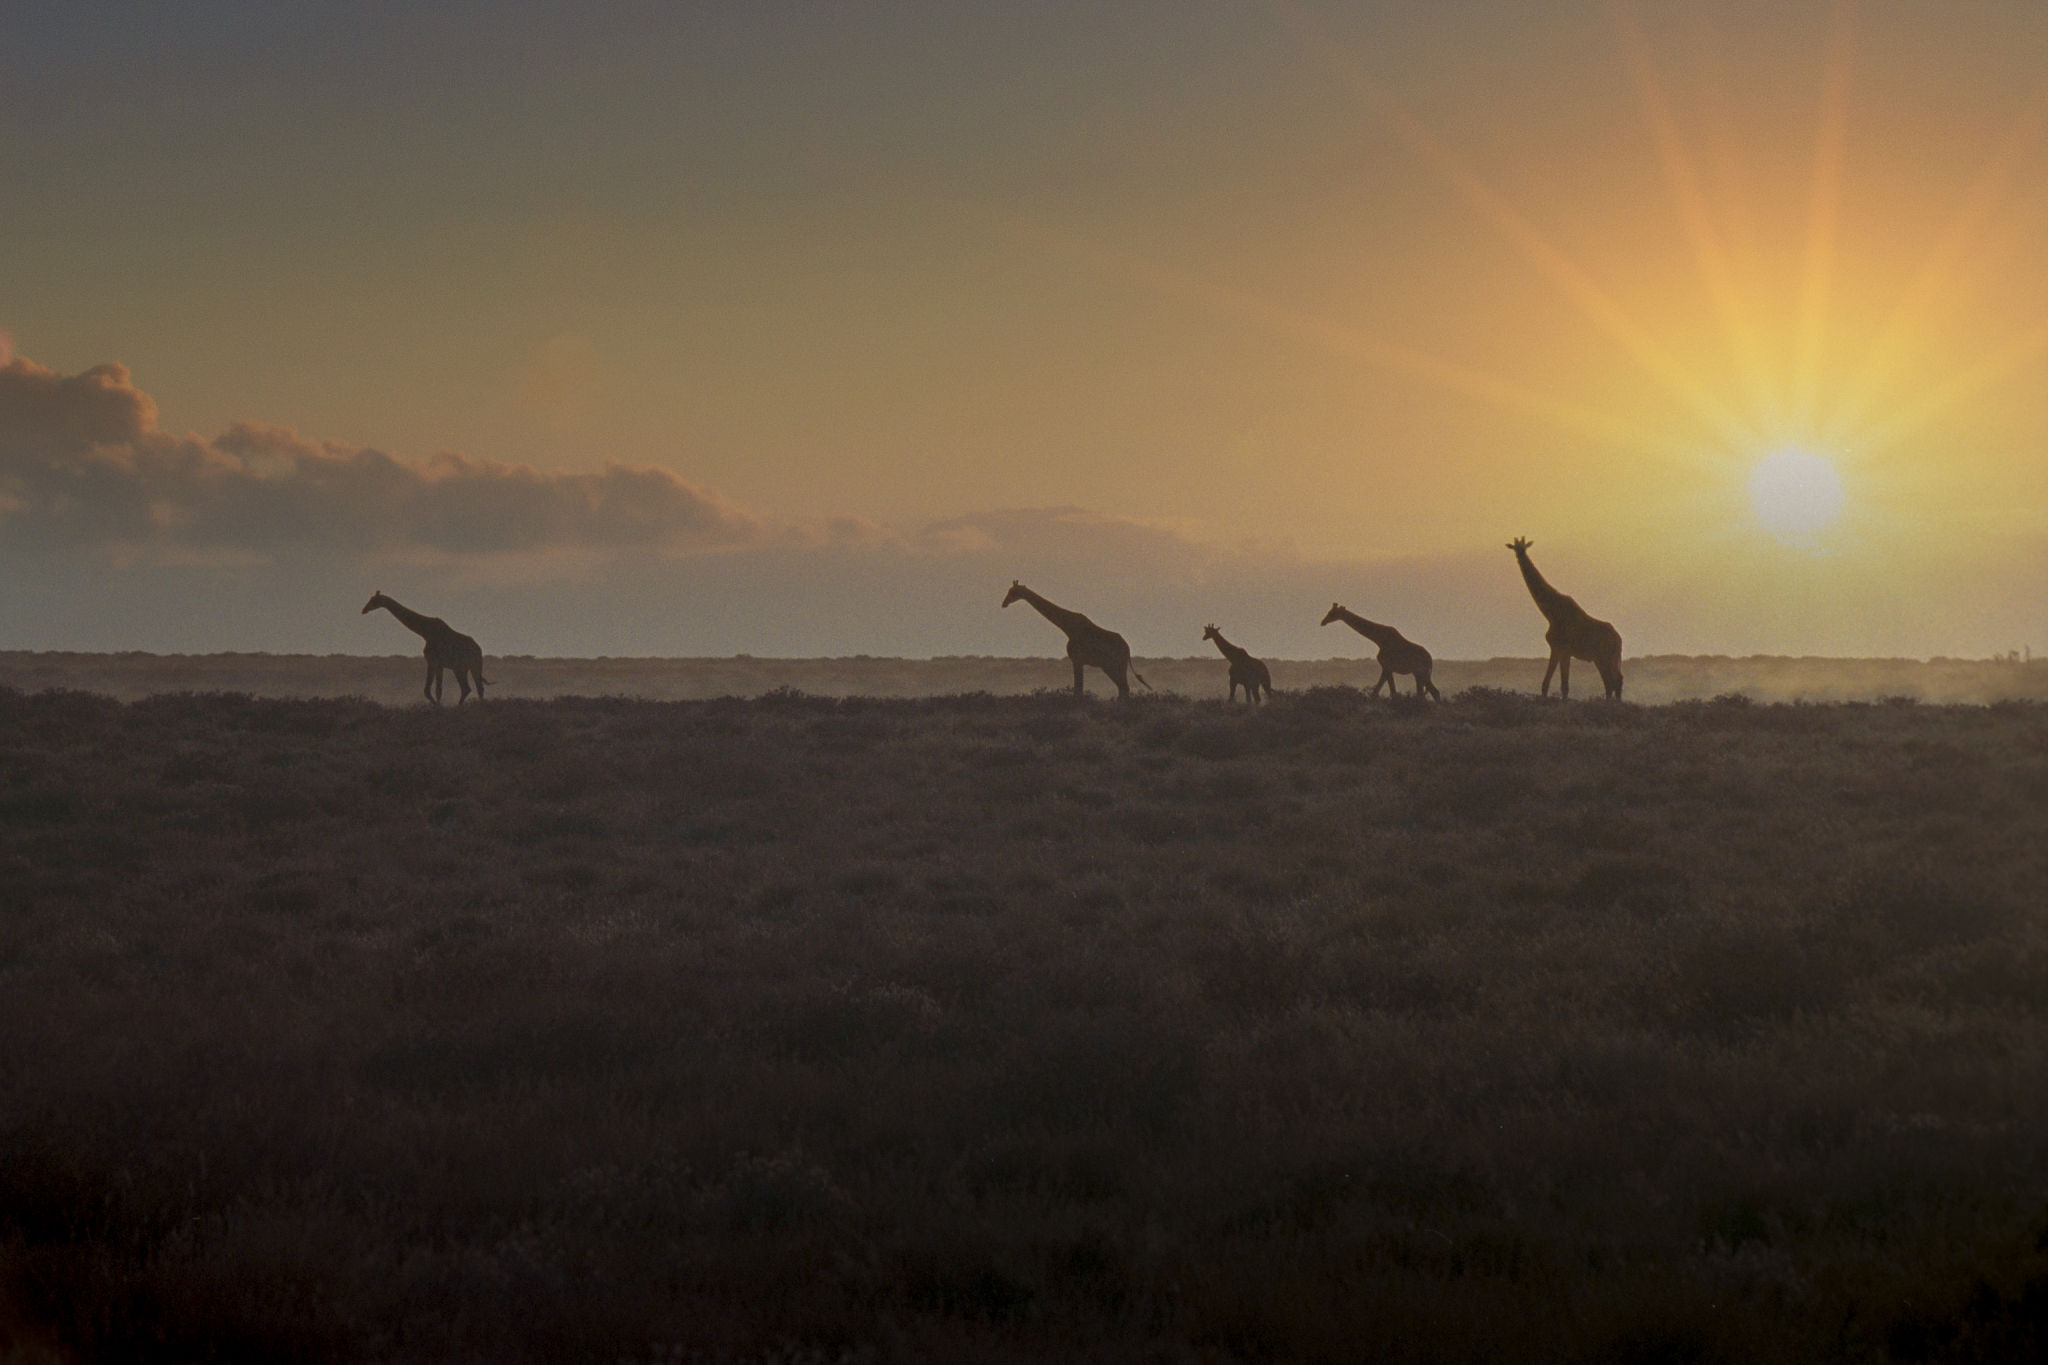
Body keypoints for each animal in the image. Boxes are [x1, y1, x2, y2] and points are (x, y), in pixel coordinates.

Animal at [361, 592, 491, 705]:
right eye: (370, 599)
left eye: (373, 600)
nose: (364, 610)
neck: (425, 632)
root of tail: (478, 649)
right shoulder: (436, 663)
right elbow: (432, 691)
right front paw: (437, 705)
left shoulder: (434, 662)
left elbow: (433, 691)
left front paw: (438, 706)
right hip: (467, 667)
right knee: (473, 688)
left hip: (465, 667)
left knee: (471, 688)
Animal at [1001, 582, 1152, 699]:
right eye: (1008, 591)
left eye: (1013, 592)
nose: (1004, 604)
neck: (1068, 628)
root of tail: (1128, 649)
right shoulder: (1079, 660)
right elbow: (1078, 688)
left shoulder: (1077, 659)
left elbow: (1078, 689)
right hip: (1111, 666)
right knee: (1123, 689)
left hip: (1115, 665)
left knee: (1124, 688)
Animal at [1506, 538, 1623, 699]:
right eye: (1515, 548)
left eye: (1524, 547)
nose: (1520, 555)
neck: (1551, 614)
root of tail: (1618, 639)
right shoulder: (1555, 649)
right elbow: (1545, 684)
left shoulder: (1565, 650)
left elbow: (1565, 686)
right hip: (1608, 658)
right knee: (1615, 681)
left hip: (1604, 657)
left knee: (1612, 682)